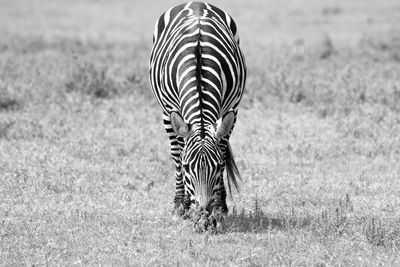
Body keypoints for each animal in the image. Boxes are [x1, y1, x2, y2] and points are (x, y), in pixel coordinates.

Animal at [148, 1, 245, 216]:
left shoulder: (231, 110)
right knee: (175, 151)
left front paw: (219, 206)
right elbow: (179, 153)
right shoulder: (173, 109)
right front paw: (183, 204)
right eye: (187, 167)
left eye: (217, 167)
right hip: (167, 114)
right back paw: (179, 202)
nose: (204, 211)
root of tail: (197, 2)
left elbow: (222, 151)